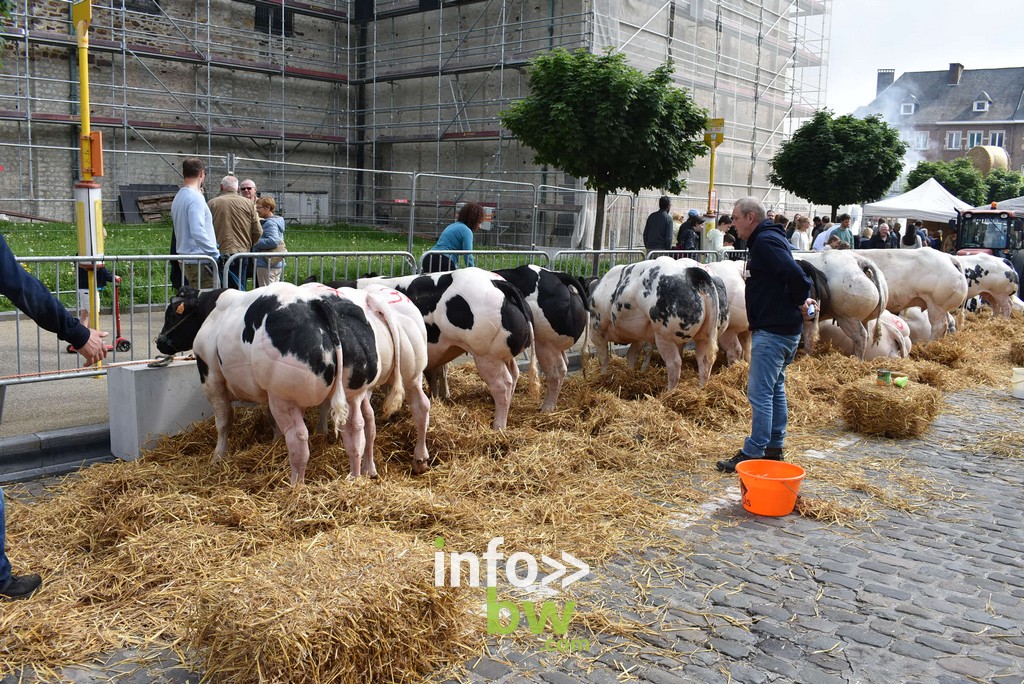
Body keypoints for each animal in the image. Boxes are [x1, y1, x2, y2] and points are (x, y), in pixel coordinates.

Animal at [155, 282, 432, 485]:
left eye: (171, 314)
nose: (159, 342)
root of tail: (320, 306)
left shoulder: (212, 379)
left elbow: (224, 423)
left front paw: (218, 457)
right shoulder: (265, 391)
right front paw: (274, 440)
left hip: (284, 397)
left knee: (299, 438)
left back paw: (295, 486)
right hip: (366, 388)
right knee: (362, 428)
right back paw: (360, 476)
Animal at [493, 264, 589, 409]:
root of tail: (557, 275)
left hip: (545, 343)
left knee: (556, 372)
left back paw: (546, 408)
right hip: (554, 343)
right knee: (563, 363)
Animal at [589, 254, 724, 387]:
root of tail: (690, 272)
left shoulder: (596, 329)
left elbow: (603, 358)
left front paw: (602, 376)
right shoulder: (638, 336)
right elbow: (631, 355)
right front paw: (629, 372)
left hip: (664, 335)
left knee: (674, 363)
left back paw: (669, 391)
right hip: (705, 335)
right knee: (704, 359)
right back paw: (702, 388)